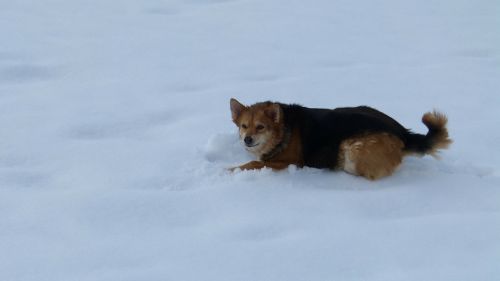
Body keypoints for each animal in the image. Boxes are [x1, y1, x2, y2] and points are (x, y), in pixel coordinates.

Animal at [230, 97, 454, 178]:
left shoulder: (290, 162)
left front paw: (230, 170)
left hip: (352, 147)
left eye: (260, 127)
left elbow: (254, 163)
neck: (283, 130)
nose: (247, 139)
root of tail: (403, 133)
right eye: (244, 126)